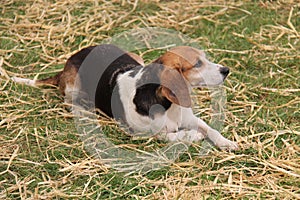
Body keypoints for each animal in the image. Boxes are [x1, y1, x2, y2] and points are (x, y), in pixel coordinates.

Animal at [12, 43, 239, 150]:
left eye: (205, 58)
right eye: (198, 64)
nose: (226, 70)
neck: (168, 106)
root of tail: (69, 61)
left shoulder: (190, 118)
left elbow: (211, 129)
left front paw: (226, 142)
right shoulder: (142, 133)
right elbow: (170, 136)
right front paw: (193, 136)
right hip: (72, 87)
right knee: (72, 103)